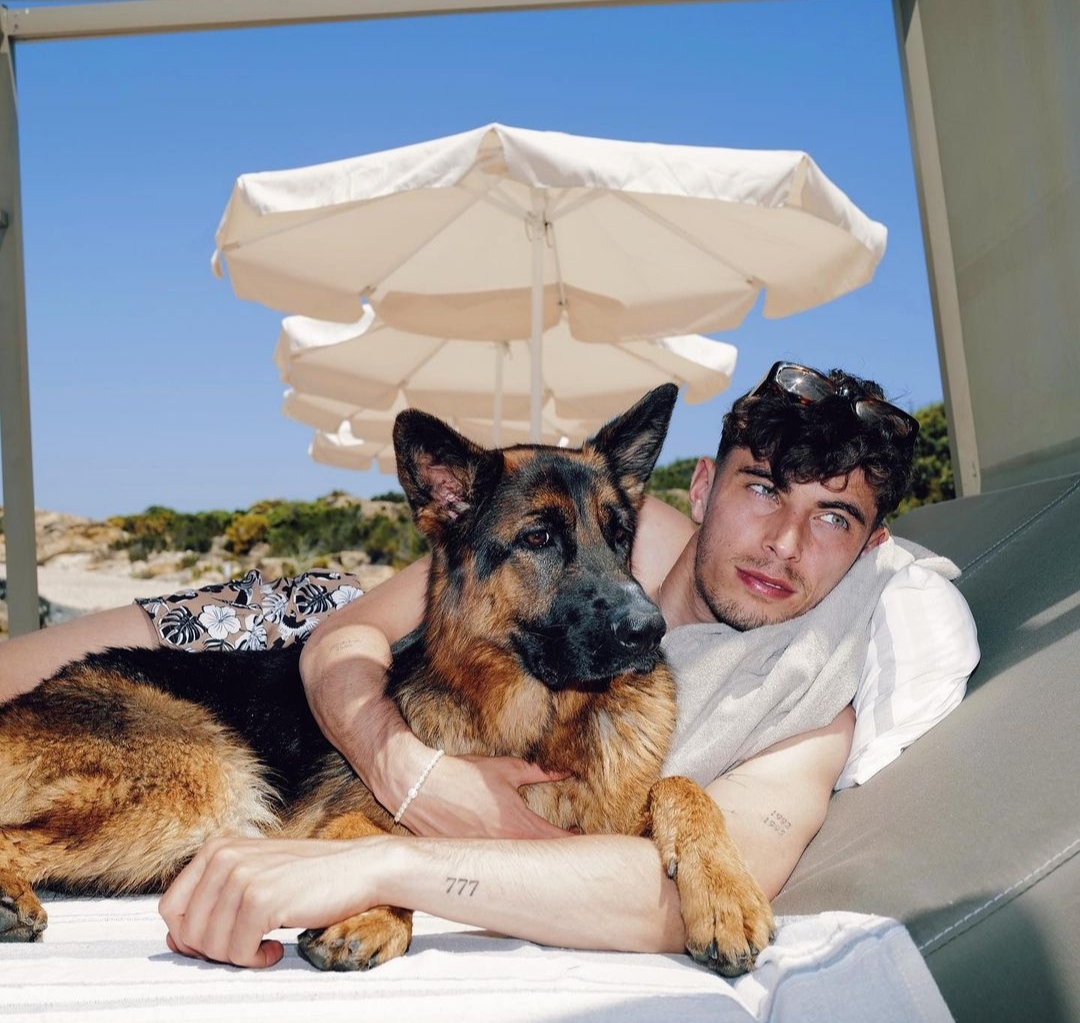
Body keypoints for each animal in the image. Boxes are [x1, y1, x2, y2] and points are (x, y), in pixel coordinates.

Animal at [0, 384, 773, 974]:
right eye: (539, 537)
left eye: (619, 536)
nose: (649, 631)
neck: (539, 722)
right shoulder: (336, 821)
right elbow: (384, 846)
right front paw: (372, 913)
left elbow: (685, 787)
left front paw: (728, 894)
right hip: (208, 784)